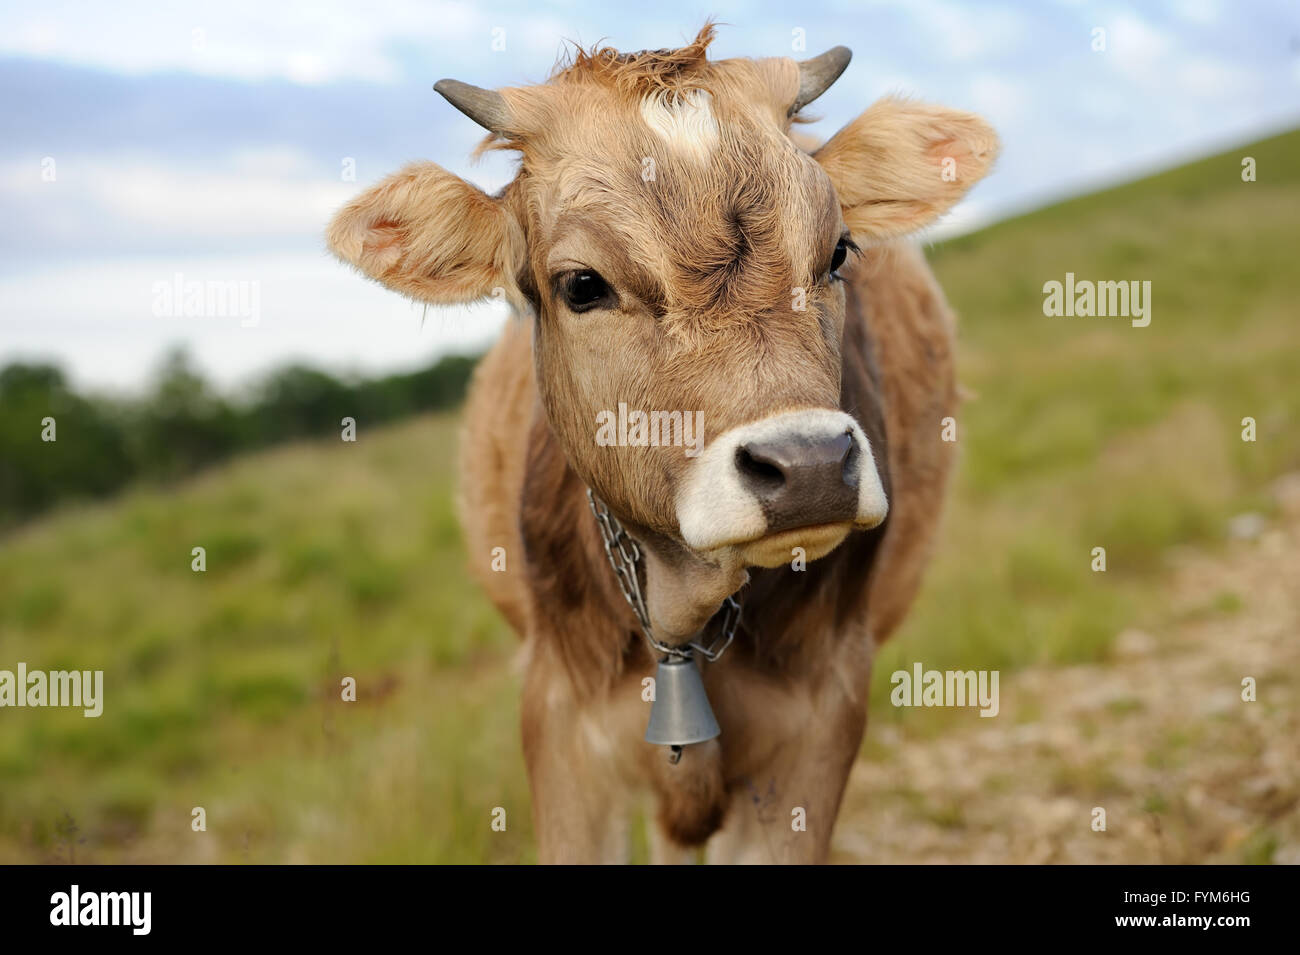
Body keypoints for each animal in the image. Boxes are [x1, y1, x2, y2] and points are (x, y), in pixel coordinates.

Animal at [327, 24, 998, 863]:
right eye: (581, 284)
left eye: (839, 251)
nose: (810, 466)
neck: (683, 620)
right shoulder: (562, 723)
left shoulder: (821, 717)